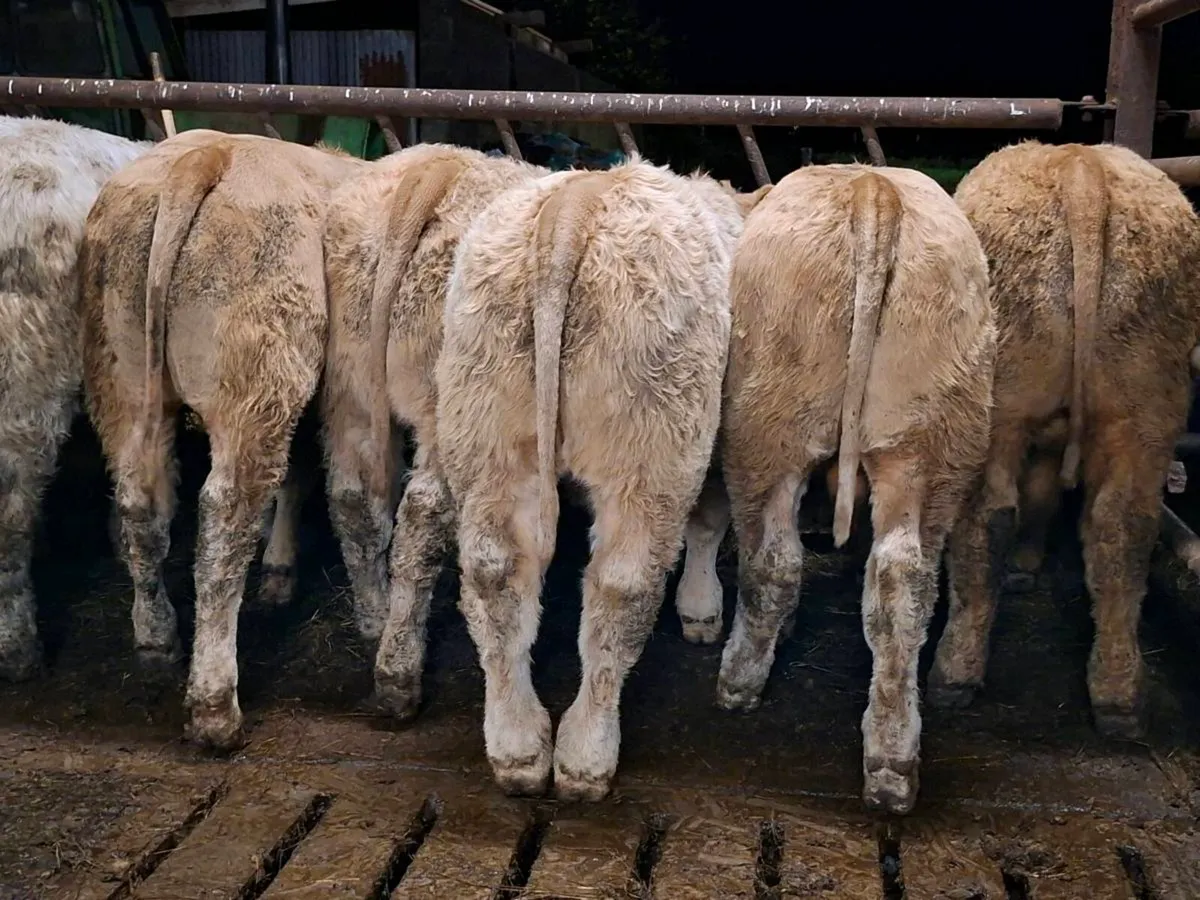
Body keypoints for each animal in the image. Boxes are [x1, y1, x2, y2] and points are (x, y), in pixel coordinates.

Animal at [80, 129, 368, 750]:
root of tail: (207, 154)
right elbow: (301, 479)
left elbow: (296, 479)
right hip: (258, 380)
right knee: (225, 517)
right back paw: (215, 708)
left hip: (120, 376)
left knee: (140, 502)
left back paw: (156, 637)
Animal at [321, 143, 549, 717]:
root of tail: (440, 168)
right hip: (454, 405)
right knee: (423, 515)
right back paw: (399, 673)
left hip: (351, 382)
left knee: (353, 496)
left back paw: (376, 623)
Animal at [435, 158, 769, 801]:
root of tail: (577, 203)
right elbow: (709, 522)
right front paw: (701, 611)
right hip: (653, 445)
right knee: (622, 585)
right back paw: (586, 757)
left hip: (485, 425)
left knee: (495, 575)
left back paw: (518, 748)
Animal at [713, 164, 996, 815]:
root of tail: (872, 189)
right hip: (925, 441)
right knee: (902, 583)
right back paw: (892, 762)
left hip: (766, 429)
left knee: (772, 561)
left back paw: (738, 681)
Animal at [928, 141, 1200, 740]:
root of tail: (1080, 167)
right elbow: (1044, 493)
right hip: (1144, 414)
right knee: (1123, 529)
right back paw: (1118, 697)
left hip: (997, 409)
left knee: (987, 520)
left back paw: (955, 670)